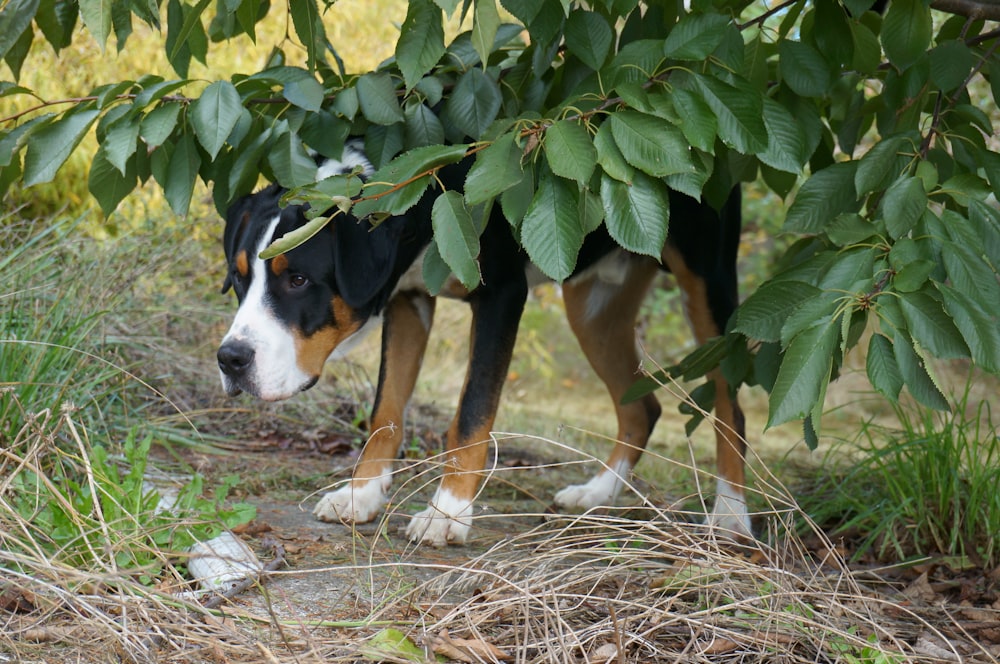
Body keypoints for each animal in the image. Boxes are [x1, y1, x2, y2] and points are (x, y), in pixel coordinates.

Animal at [219, 140, 752, 544]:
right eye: (239, 278)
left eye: (298, 280)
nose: (230, 359)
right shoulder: (408, 299)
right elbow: (386, 410)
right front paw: (362, 493)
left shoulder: (501, 295)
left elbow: (471, 413)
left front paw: (448, 511)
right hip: (592, 306)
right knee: (641, 409)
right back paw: (597, 494)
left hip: (707, 280)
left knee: (730, 403)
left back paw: (729, 513)